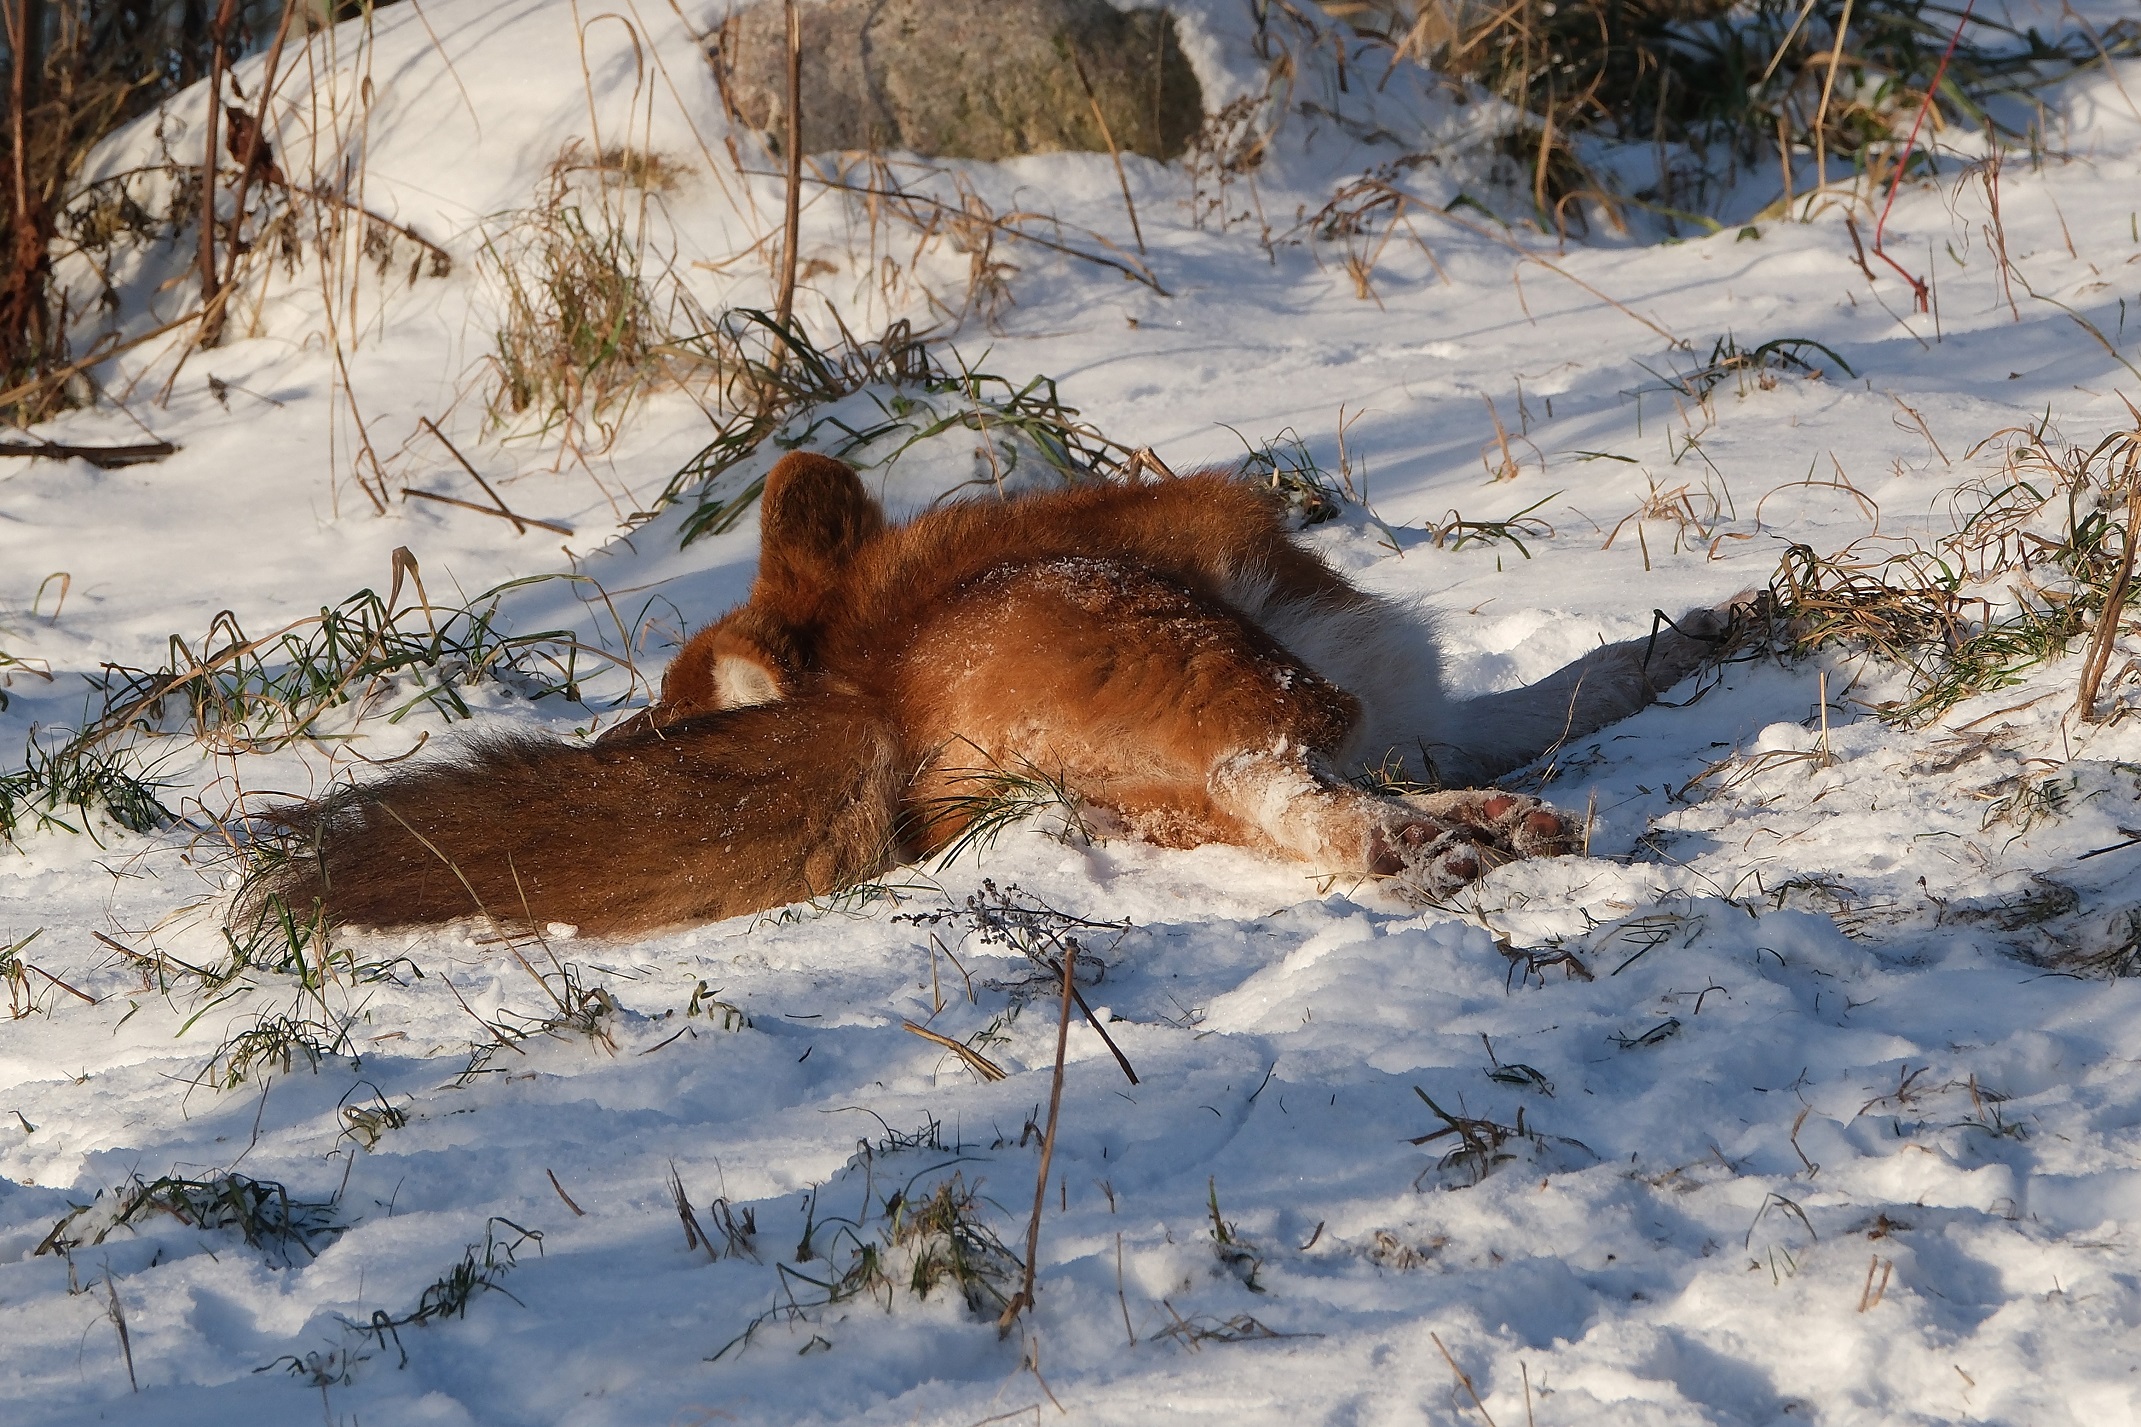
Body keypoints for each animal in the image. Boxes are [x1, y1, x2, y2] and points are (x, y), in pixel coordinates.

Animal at [264, 452, 1729, 937]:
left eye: (689, 720)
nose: (619, 737)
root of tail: (880, 702)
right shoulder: (1356, 677)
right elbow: (1534, 696)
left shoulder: (1415, 712)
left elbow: (1551, 695)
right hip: (1236, 665)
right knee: (1287, 784)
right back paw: (1440, 844)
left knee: (1283, 801)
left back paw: (1478, 823)